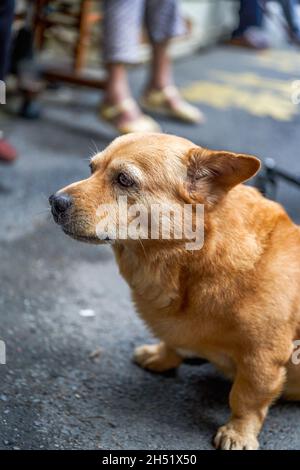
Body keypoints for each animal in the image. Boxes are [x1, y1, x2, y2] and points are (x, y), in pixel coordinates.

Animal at [50, 133, 300, 452]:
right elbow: (171, 342)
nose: (54, 202)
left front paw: (238, 433)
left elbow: (246, 400)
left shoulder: (263, 358)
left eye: (124, 179)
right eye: (91, 168)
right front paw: (161, 356)